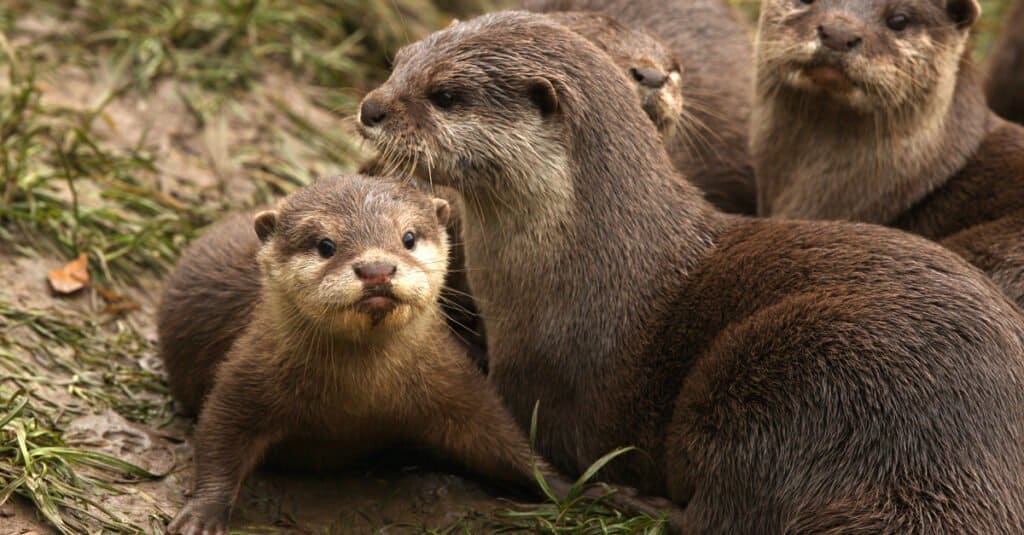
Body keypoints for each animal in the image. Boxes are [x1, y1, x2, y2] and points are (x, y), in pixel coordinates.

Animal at [156, 176, 593, 532]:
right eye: (326, 245)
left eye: (409, 237)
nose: (377, 269)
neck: (358, 398)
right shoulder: (248, 371)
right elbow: (219, 435)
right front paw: (202, 513)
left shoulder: (454, 380)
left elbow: (503, 439)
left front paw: (579, 489)